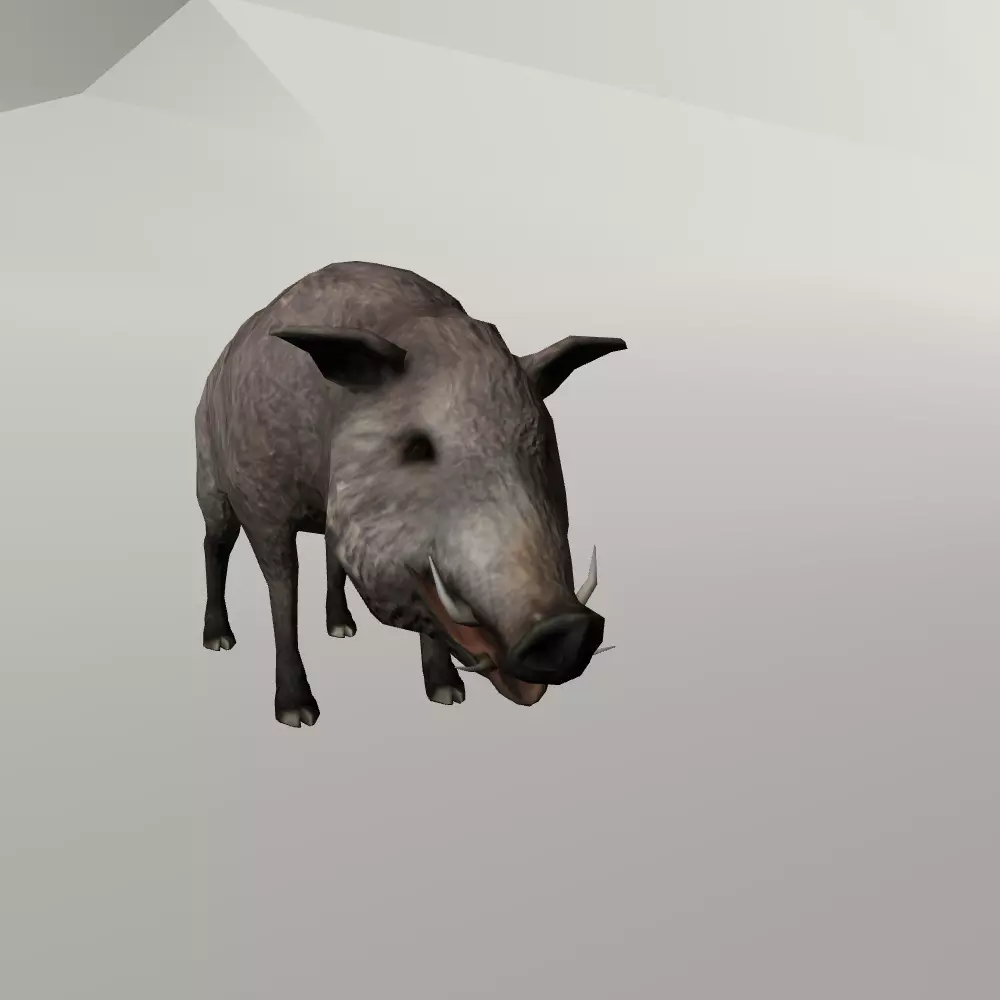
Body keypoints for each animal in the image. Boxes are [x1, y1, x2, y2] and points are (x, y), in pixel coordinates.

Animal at [195, 261, 626, 727]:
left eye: (542, 444)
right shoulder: (262, 502)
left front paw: (448, 695)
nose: (565, 627)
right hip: (210, 483)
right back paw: (218, 640)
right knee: (214, 544)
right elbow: (283, 588)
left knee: (330, 553)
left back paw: (342, 629)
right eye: (417, 447)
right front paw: (298, 713)